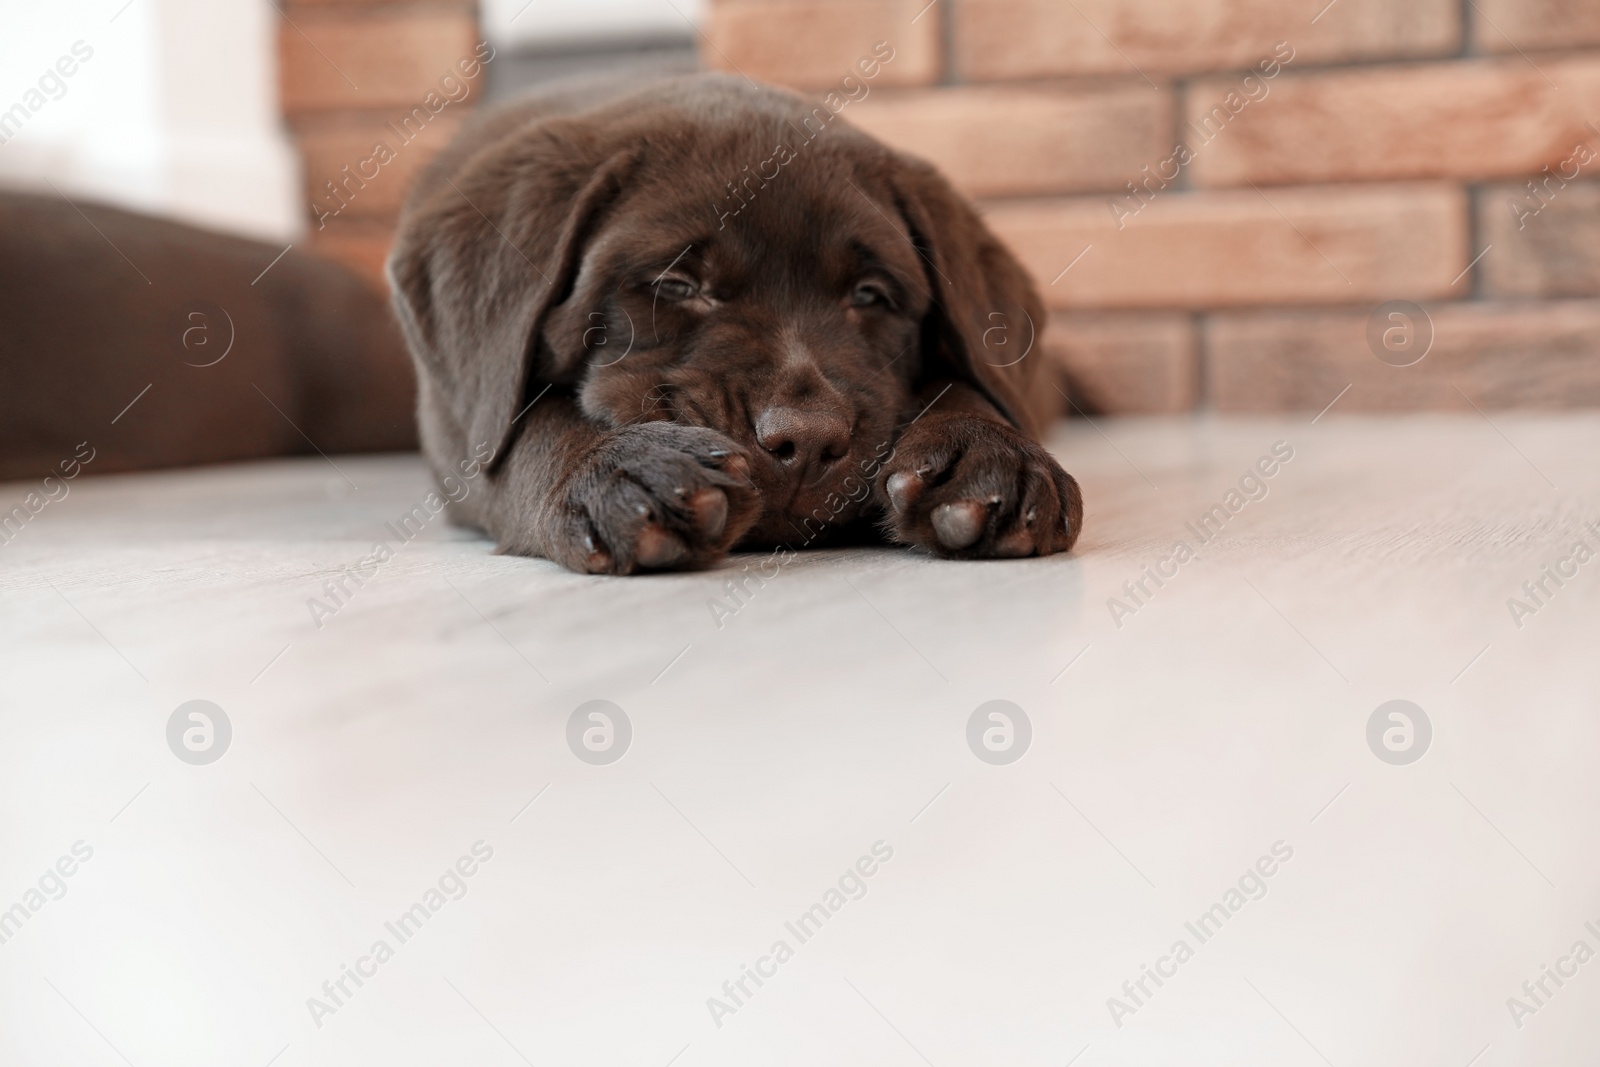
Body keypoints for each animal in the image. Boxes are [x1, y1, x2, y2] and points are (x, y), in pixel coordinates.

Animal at [392, 73, 1081, 575]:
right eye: (676, 285)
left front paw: (986, 453)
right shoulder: (458, 432)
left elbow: (964, 385)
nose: (807, 440)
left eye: (870, 295)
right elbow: (526, 432)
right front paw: (622, 467)